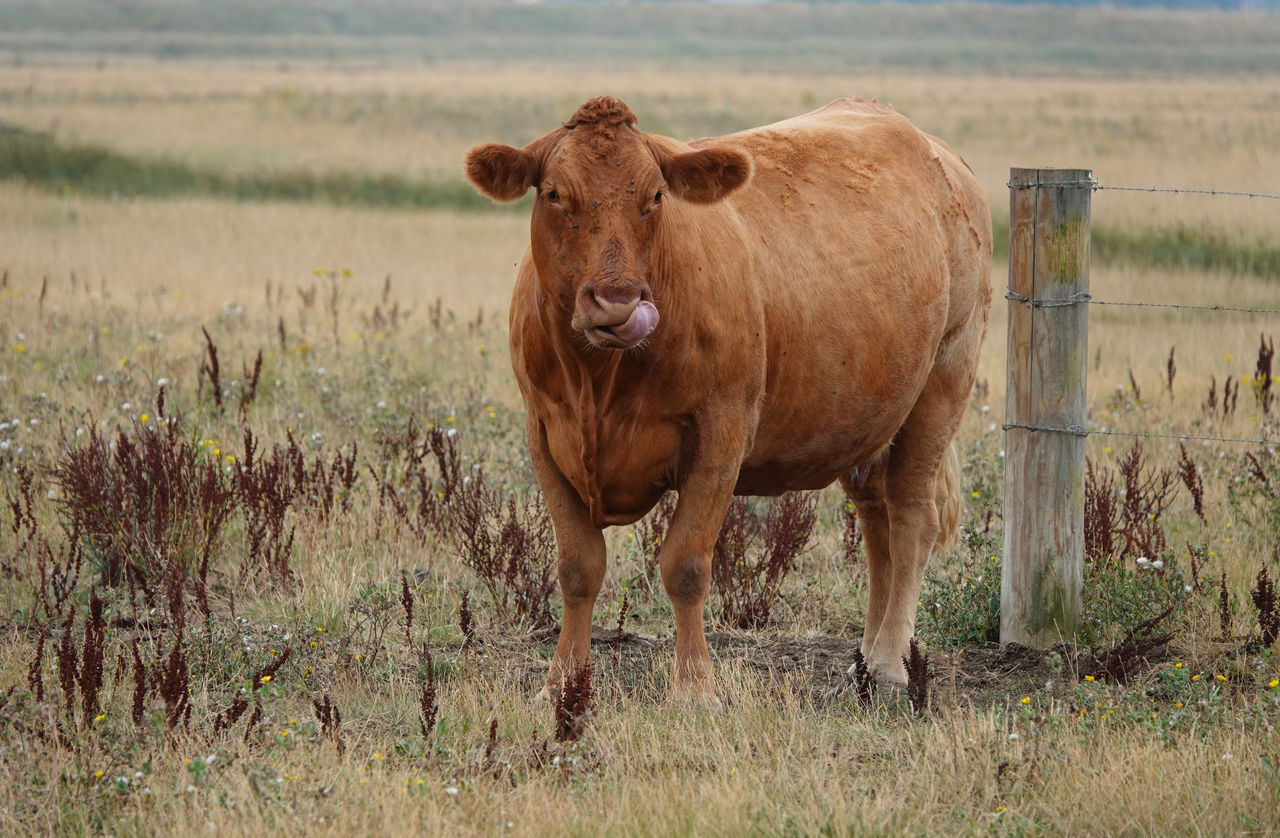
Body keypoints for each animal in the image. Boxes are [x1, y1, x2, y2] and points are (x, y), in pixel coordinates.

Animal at [465, 98, 993, 701]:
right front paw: (562, 683)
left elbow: (686, 565)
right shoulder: (545, 435)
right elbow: (578, 568)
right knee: (878, 524)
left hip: (944, 381)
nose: (617, 302)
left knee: (911, 520)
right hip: (871, 420)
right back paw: (863, 661)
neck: (599, 381)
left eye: (656, 196)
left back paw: (886, 664)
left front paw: (694, 687)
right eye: (554, 193)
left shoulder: (721, 435)